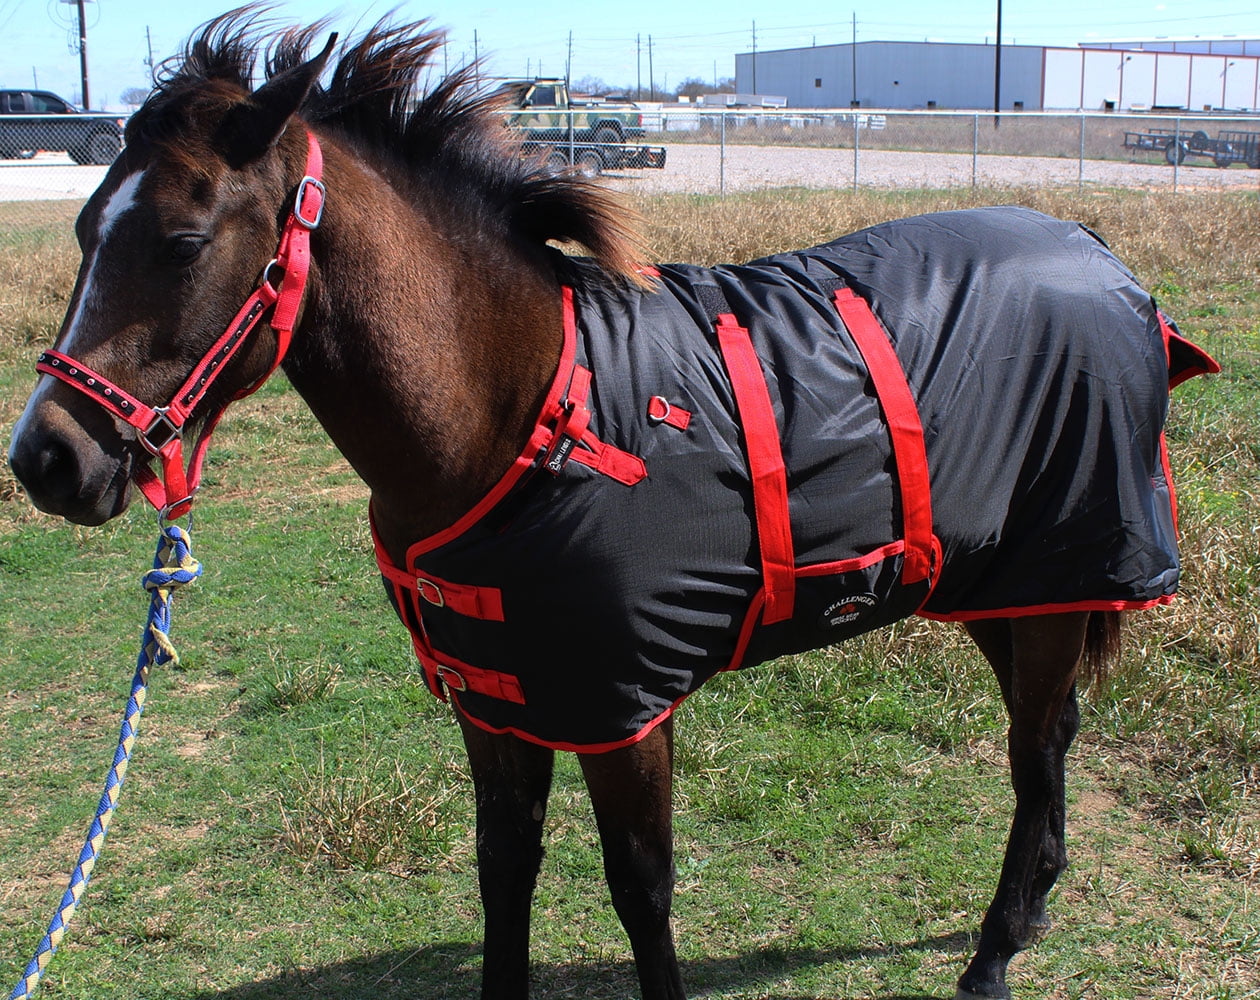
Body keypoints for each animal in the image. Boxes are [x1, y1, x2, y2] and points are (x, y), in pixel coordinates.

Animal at [4, 9, 1214, 997]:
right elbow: (504, 874)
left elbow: (642, 891)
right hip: (1008, 589)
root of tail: (1100, 255)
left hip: (1061, 578)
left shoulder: (624, 708)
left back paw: (995, 950)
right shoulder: (499, 699)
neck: (524, 412)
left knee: (1035, 744)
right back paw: (1036, 903)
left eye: (183, 240)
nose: (47, 460)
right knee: (1047, 735)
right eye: (84, 230)